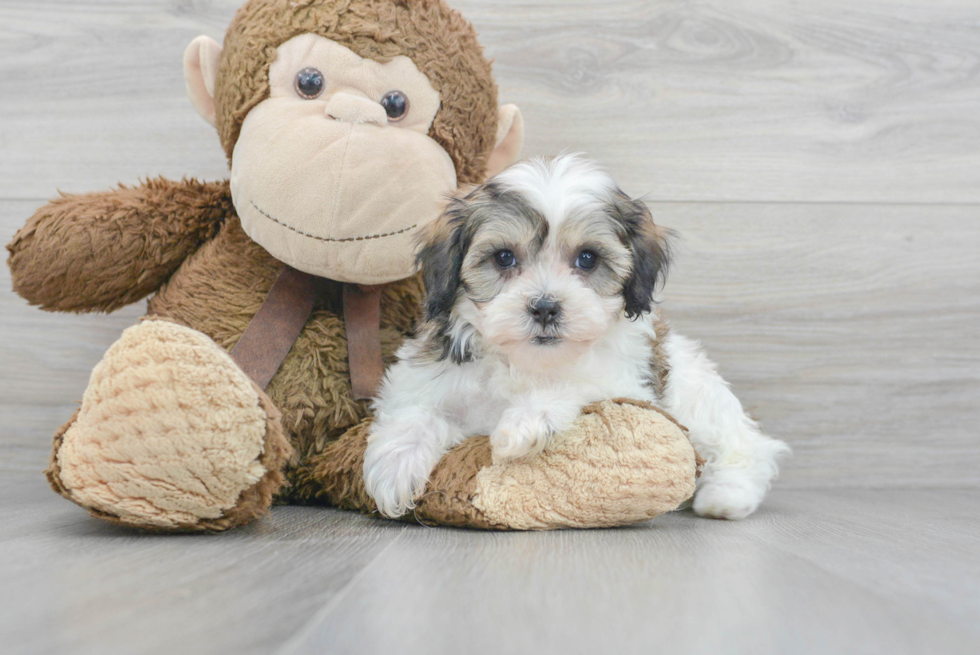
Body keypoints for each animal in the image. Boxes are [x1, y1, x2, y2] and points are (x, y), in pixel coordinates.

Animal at [364, 155, 792, 524]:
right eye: (503, 257)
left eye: (587, 258)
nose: (545, 307)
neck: (523, 362)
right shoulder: (422, 378)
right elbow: (414, 411)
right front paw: (394, 468)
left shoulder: (624, 383)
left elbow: (574, 385)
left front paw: (524, 424)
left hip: (697, 395)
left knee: (746, 448)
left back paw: (725, 497)